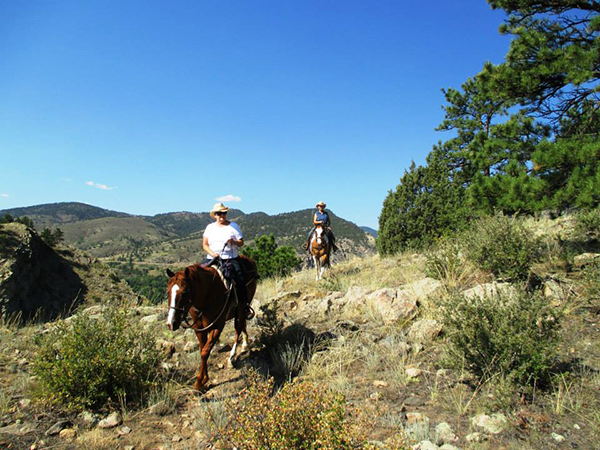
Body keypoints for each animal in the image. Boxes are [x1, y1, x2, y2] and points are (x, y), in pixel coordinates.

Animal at [165, 255, 256, 392]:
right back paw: (245, 344)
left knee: (238, 329)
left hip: (243, 306)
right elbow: (203, 349)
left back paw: (231, 358)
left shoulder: (218, 325)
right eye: (168, 292)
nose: (171, 323)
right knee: (242, 324)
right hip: (239, 310)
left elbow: (205, 352)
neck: (207, 294)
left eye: (185, 291)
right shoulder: (198, 328)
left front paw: (199, 383)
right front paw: (204, 379)